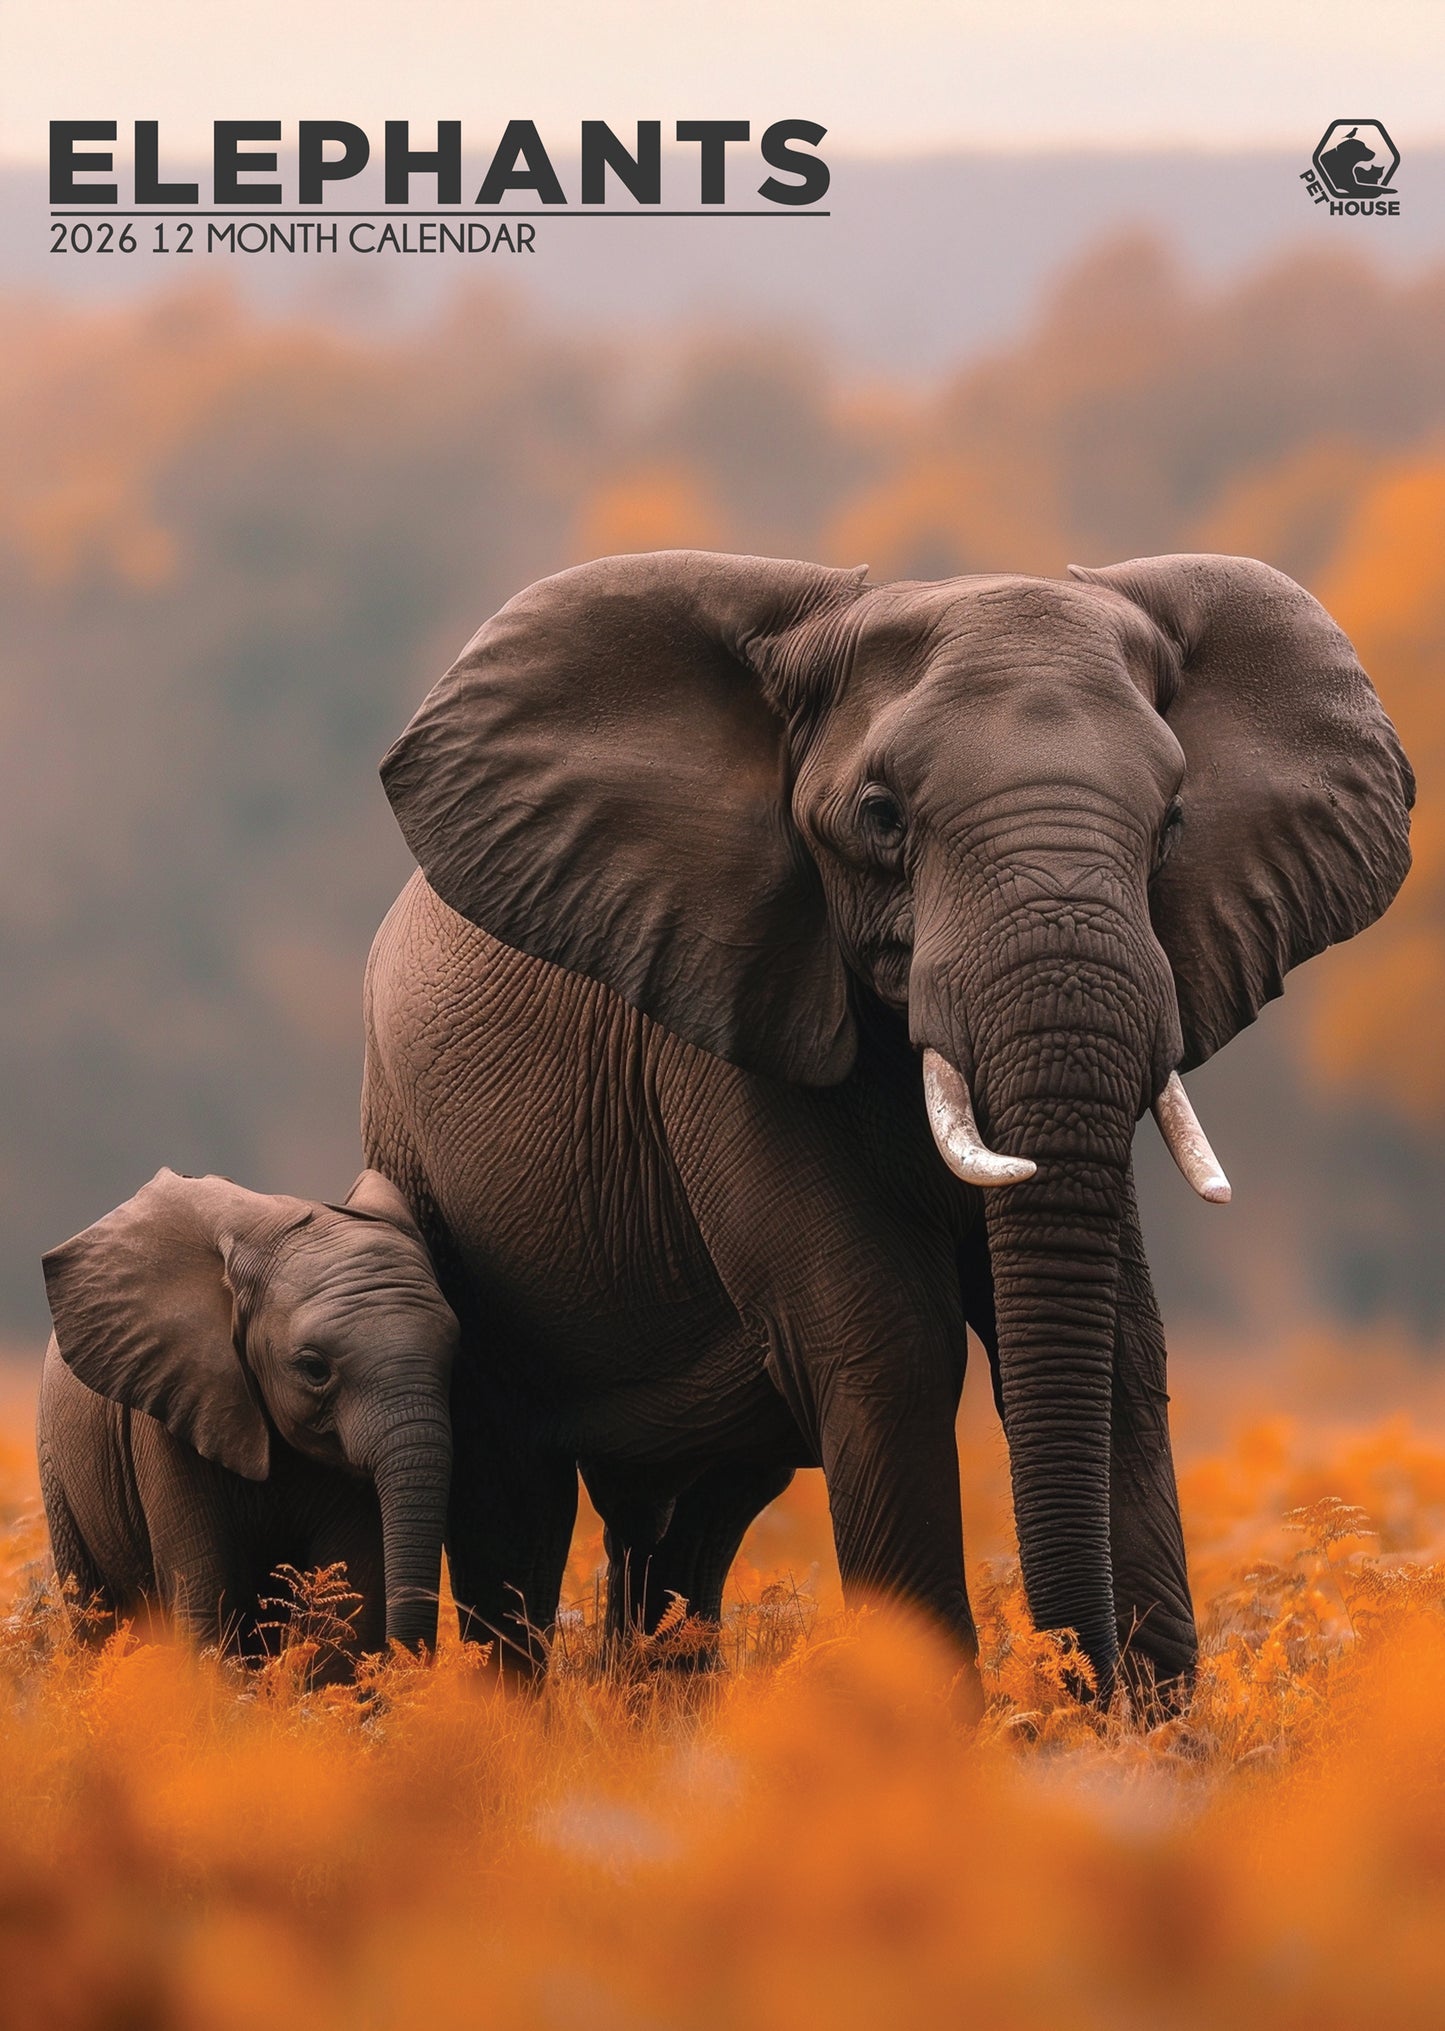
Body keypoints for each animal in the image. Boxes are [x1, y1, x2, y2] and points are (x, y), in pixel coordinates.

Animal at [38, 1166, 457, 1661]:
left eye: (456, 1352)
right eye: (314, 1369)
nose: (406, 1661)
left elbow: (349, 1604)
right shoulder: (168, 1412)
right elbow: (206, 1596)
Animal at [360, 548, 1412, 1696]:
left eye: (1173, 820)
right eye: (879, 815)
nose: (1067, 1683)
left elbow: (1127, 1348)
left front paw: (1153, 1735)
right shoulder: (721, 1011)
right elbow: (889, 1341)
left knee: (696, 1523)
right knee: (516, 1500)